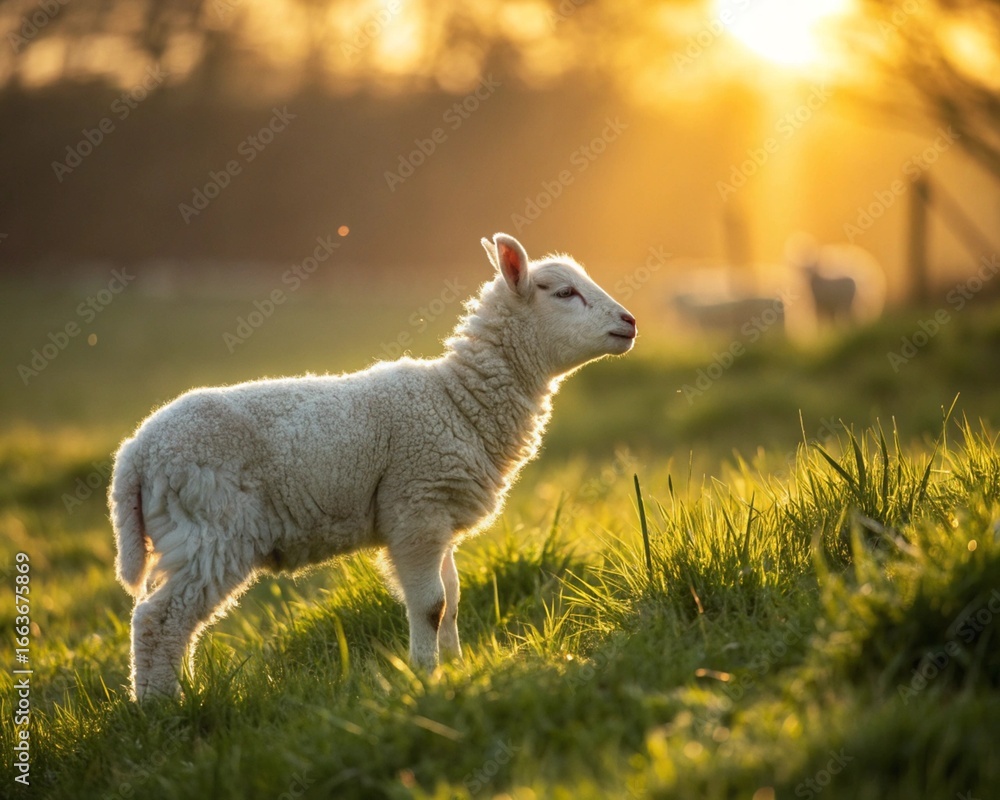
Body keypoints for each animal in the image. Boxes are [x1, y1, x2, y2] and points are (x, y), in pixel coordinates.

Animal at [110, 232, 637, 700]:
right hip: (210, 530)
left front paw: (456, 665)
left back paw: (182, 692)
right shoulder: (416, 507)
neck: (459, 401)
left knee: (171, 621)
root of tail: (135, 453)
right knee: (158, 620)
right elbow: (430, 605)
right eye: (564, 292)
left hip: (186, 534)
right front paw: (425, 674)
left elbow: (453, 601)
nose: (630, 322)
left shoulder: (438, 516)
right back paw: (161, 708)